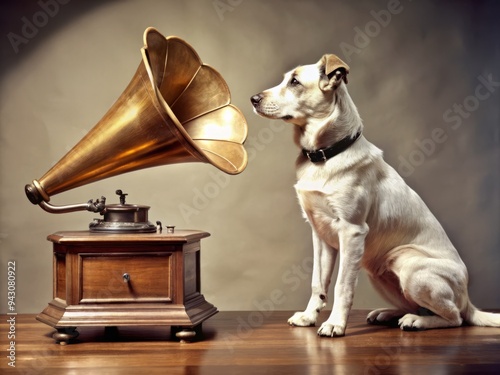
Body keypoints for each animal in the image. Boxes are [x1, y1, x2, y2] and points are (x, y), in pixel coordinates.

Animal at [252, 53, 498, 338]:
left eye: (294, 82)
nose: (253, 99)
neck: (325, 156)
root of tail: (469, 300)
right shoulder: (320, 234)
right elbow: (318, 283)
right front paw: (308, 316)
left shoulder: (352, 232)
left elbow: (342, 286)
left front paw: (335, 324)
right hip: (378, 272)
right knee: (419, 306)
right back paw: (389, 314)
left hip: (408, 263)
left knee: (454, 318)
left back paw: (416, 321)